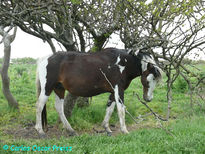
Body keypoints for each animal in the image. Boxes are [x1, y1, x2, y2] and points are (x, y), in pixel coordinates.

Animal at [34, 47, 162, 137]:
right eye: (150, 79)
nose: (148, 98)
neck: (122, 64)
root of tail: (45, 58)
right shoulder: (118, 90)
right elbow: (121, 110)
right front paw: (124, 130)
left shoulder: (113, 91)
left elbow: (110, 108)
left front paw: (107, 128)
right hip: (47, 88)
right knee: (39, 106)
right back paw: (40, 131)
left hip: (59, 88)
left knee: (59, 108)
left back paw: (71, 131)